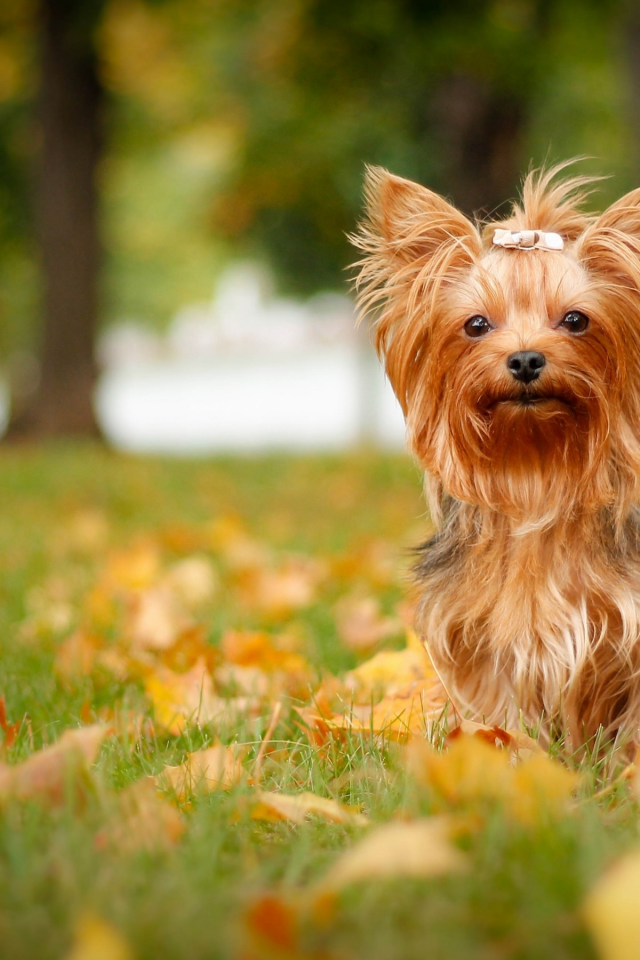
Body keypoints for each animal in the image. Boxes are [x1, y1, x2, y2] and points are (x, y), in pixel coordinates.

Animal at [356, 163, 640, 752]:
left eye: (575, 320)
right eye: (476, 325)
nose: (526, 359)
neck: (534, 471)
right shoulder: (479, 636)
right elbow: (500, 707)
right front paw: (509, 752)